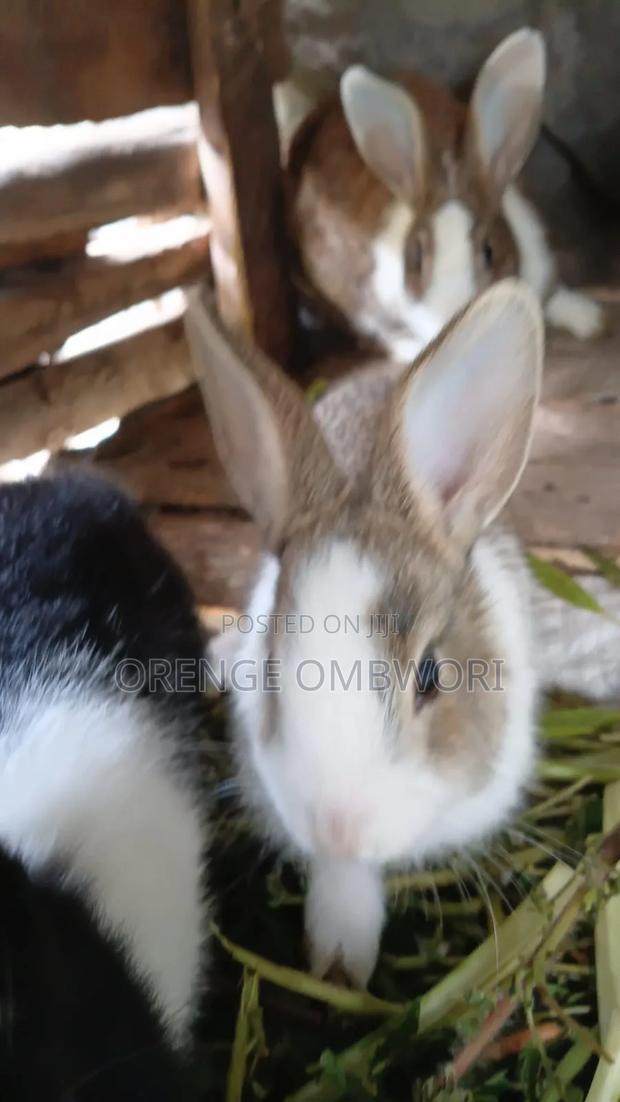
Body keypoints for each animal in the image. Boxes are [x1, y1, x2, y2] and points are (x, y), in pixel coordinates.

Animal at [283, 27, 603, 363]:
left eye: (490, 251)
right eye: (415, 258)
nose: (456, 318)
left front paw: (588, 318)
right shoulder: (360, 298)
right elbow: (380, 330)